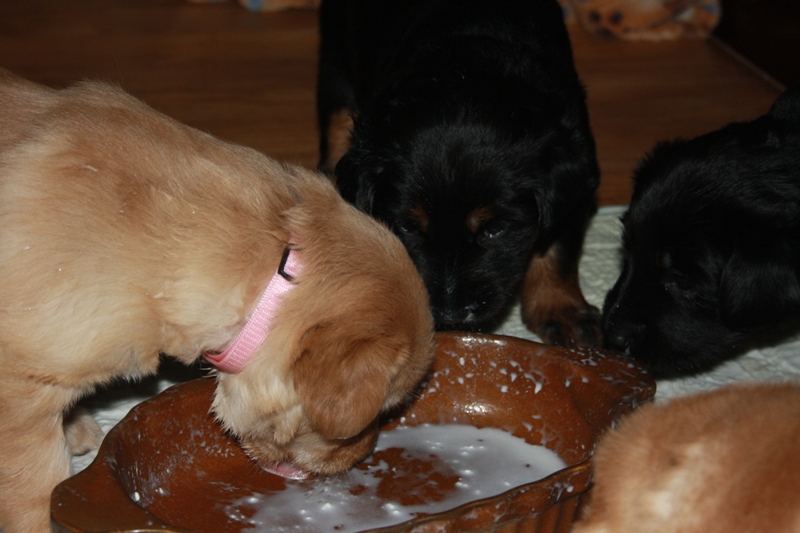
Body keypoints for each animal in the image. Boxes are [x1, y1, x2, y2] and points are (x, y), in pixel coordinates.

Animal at [316, 0, 602, 346]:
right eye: (407, 227)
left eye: (495, 230)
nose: (449, 315)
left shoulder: (575, 177)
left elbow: (556, 247)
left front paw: (563, 311)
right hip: (334, 56)